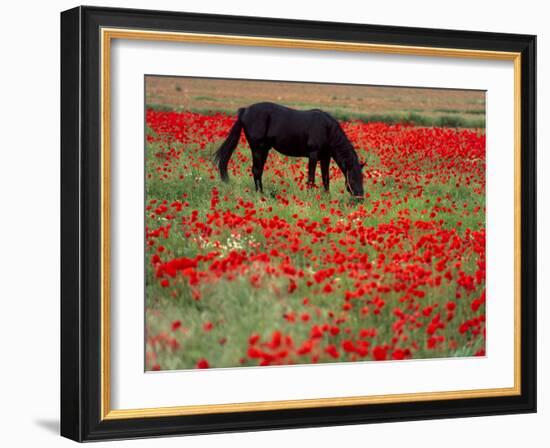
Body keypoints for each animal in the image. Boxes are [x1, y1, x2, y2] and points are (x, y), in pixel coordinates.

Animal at [216, 104, 366, 199]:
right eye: (353, 178)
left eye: (362, 178)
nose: (360, 198)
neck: (327, 129)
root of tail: (245, 111)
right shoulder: (313, 155)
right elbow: (311, 178)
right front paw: (310, 197)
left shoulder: (325, 157)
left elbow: (325, 178)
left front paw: (327, 198)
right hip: (257, 148)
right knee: (256, 170)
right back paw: (260, 194)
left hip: (264, 149)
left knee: (259, 171)